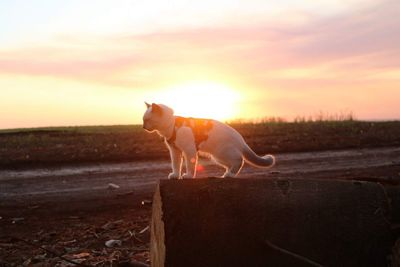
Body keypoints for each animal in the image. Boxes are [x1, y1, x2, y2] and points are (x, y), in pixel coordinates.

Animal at [142, 102, 276, 180]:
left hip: (222, 152)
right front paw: (175, 176)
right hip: (218, 157)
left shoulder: (189, 151)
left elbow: (190, 166)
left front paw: (188, 176)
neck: (172, 126)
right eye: (143, 120)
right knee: (231, 164)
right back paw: (225, 175)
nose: (143, 127)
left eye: (147, 120)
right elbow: (175, 165)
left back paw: (230, 175)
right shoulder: (175, 151)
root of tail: (241, 140)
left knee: (239, 160)